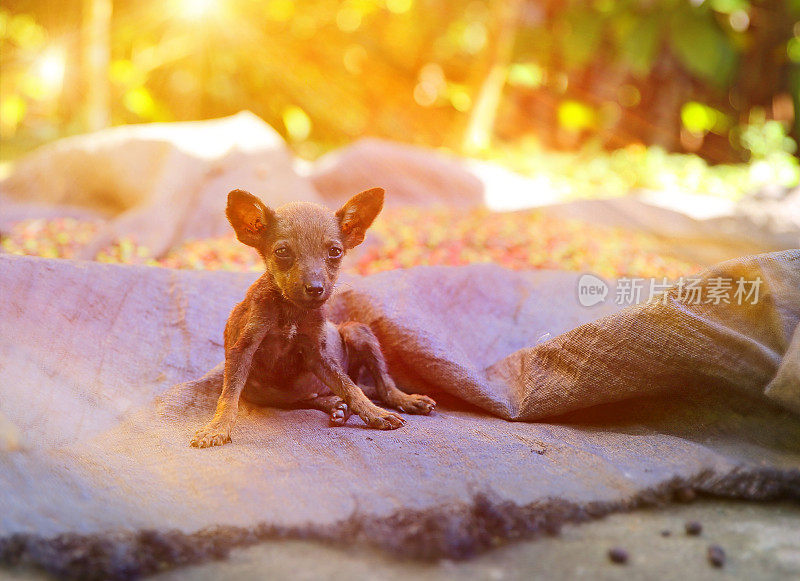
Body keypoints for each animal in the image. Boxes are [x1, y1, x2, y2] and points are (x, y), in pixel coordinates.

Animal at [192, 188, 438, 446]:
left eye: (335, 252)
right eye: (282, 251)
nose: (315, 288)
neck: (291, 311)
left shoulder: (318, 355)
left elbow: (349, 386)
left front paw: (374, 413)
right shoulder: (243, 349)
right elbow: (229, 395)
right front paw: (218, 427)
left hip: (356, 330)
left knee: (382, 386)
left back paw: (402, 400)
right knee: (313, 397)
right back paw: (337, 407)